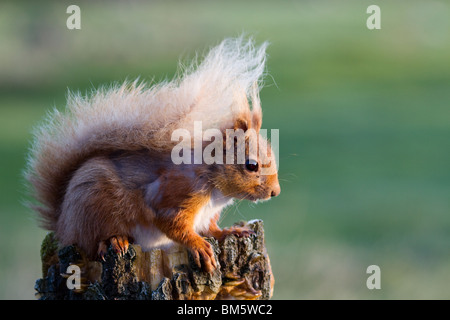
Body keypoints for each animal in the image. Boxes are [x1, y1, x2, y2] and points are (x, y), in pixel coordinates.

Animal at [24, 38, 280, 272]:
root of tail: (62, 224)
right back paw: (113, 240)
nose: (275, 192)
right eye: (251, 165)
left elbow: (211, 229)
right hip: (93, 207)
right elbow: (172, 225)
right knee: (92, 243)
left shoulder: (207, 215)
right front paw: (198, 245)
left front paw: (230, 231)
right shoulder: (175, 195)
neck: (214, 186)